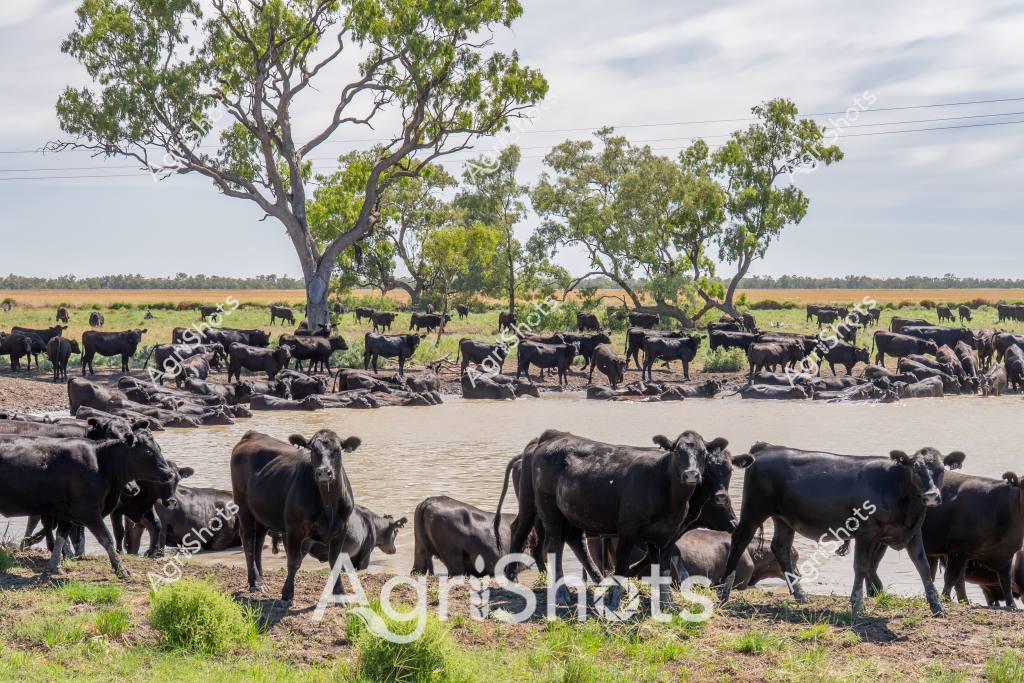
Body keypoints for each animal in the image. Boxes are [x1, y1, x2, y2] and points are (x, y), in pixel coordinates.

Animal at [0, 421, 176, 576]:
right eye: (148, 451)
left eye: (158, 448)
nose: (169, 473)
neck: (101, 462)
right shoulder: (86, 509)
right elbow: (106, 537)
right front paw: (120, 568)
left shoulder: (67, 512)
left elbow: (61, 536)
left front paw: (56, 566)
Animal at [230, 429, 361, 605]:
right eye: (312, 449)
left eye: (337, 449)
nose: (324, 472)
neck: (328, 505)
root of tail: (253, 434)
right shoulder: (294, 528)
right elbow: (294, 561)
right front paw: (287, 595)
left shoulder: (341, 528)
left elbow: (335, 561)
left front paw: (340, 593)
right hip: (243, 504)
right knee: (248, 539)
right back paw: (255, 582)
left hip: (262, 512)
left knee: (258, 542)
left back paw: (261, 581)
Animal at [497, 429, 729, 610]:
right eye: (677, 452)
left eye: (703, 453)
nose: (692, 474)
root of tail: (553, 434)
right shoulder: (628, 528)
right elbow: (623, 565)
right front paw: (614, 599)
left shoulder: (667, 534)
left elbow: (662, 566)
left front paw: (667, 602)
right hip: (545, 506)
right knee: (550, 543)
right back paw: (558, 590)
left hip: (565, 510)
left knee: (564, 538)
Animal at [718, 442, 966, 615]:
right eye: (915, 469)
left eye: (941, 470)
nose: (931, 495)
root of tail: (766, 447)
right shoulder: (866, 533)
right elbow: (862, 566)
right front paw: (857, 604)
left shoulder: (913, 532)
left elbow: (922, 566)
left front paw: (937, 605)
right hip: (753, 510)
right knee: (739, 541)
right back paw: (723, 591)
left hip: (784, 519)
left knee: (781, 549)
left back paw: (800, 595)